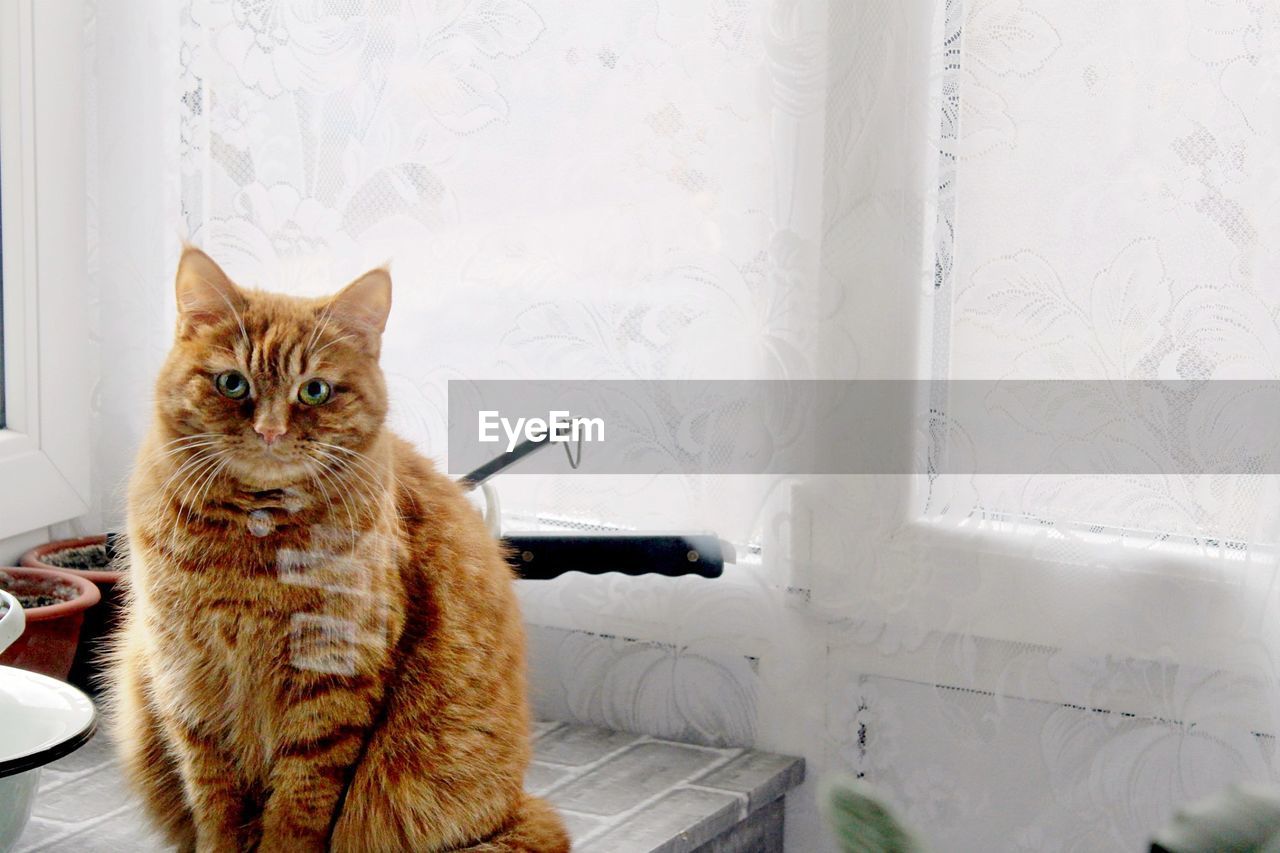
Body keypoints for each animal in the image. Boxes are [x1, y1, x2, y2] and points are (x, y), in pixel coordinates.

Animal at [110, 247, 570, 850]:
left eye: (315, 391)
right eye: (232, 384)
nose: (270, 431)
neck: (257, 540)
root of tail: (518, 803)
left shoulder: (331, 678)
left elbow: (297, 808)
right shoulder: (188, 681)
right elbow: (215, 804)